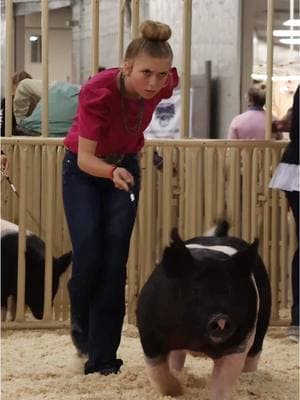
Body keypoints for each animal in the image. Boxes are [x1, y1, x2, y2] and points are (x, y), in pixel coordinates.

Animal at [137, 222, 270, 400]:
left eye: (229, 290)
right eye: (195, 290)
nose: (221, 318)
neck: (197, 339)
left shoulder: (238, 343)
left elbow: (222, 381)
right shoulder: (149, 334)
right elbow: (157, 371)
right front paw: (177, 390)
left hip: (261, 324)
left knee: (253, 355)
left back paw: (249, 378)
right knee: (177, 356)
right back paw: (179, 373)